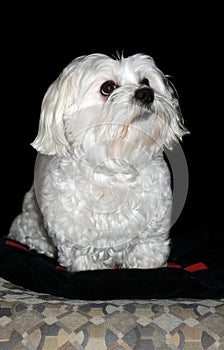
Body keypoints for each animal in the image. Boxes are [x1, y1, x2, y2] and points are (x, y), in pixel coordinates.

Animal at [7, 52, 188, 270]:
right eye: (107, 87)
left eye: (146, 81)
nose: (146, 93)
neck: (116, 169)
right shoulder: (78, 242)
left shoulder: (151, 235)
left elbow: (147, 254)